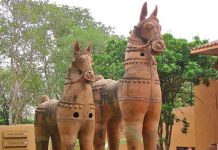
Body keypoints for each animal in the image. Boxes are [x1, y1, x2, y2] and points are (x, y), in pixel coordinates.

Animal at [119, 1, 165, 149]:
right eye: (148, 26)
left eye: (160, 27)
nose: (160, 45)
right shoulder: (132, 116)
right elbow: (135, 140)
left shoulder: (154, 117)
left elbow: (151, 136)